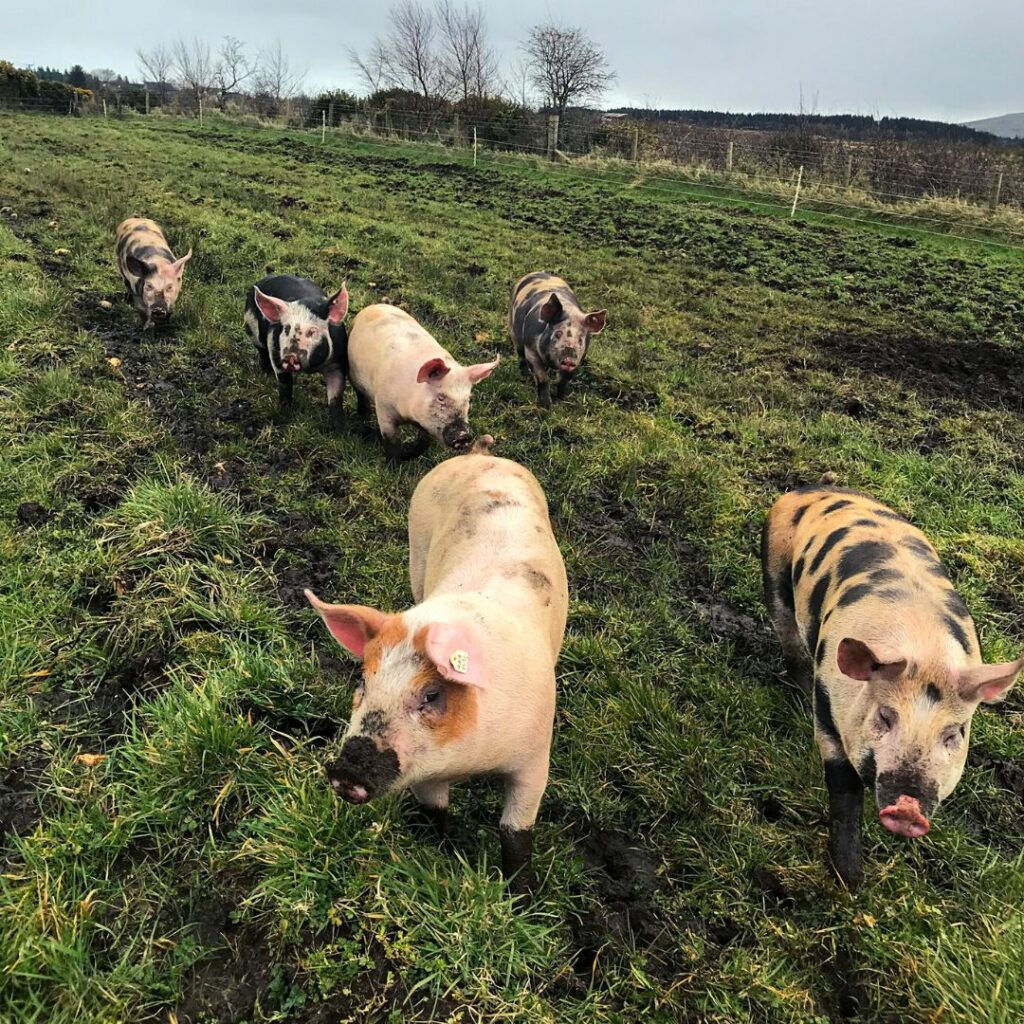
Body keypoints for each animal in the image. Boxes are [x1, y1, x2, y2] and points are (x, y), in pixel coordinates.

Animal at [244, 274, 352, 430]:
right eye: (286, 329)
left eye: (312, 331)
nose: (290, 356)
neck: (311, 368)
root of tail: (269, 276)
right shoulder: (276, 354)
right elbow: (285, 386)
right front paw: (284, 415)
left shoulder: (337, 363)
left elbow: (335, 397)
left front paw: (341, 430)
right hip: (253, 332)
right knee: (262, 353)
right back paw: (266, 375)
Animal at [307, 436, 573, 892]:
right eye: (363, 681)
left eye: (431, 694)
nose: (346, 772)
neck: (473, 762)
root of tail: (478, 456)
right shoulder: (426, 772)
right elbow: (436, 811)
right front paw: (450, 853)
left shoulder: (536, 756)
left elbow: (516, 832)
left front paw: (521, 895)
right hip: (415, 545)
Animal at [346, 303, 501, 460]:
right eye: (440, 397)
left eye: (468, 399)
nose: (463, 435)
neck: (409, 415)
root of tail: (375, 306)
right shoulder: (384, 408)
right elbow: (392, 444)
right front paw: (395, 463)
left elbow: (423, 444)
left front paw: (408, 454)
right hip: (353, 374)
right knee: (361, 397)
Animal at [507, 272, 602, 407]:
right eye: (558, 333)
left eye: (580, 339)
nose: (569, 359)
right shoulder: (530, 349)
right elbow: (542, 378)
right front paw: (546, 406)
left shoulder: (580, 358)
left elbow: (564, 380)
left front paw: (562, 399)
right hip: (513, 330)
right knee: (520, 355)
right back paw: (525, 377)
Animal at [765, 479, 1019, 888]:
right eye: (885, 716)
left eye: (953, 734)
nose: (908, 808)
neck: (924, 649)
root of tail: (808, 490)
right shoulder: (829, 708)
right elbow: (843, 786)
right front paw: (850, 882)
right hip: (774, 567)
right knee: (786, 630)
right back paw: (797, 696)